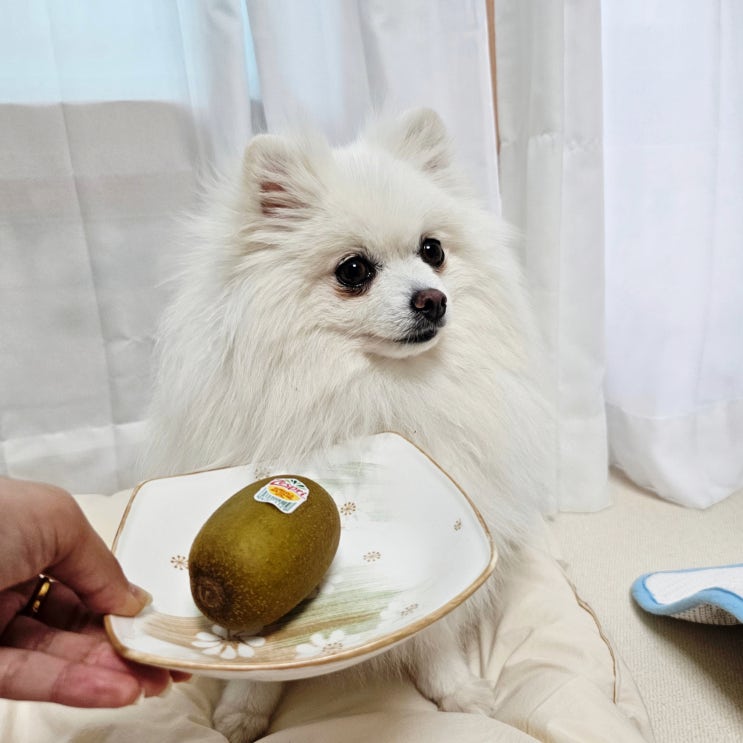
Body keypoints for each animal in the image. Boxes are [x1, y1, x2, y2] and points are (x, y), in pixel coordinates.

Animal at [146, 108, 554, 742]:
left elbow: (436, 633)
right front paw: (243, 709)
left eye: (433, 250)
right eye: (354, 270)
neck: (376, 390)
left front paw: (457, 691)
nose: (433, 299)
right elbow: (252, 675)